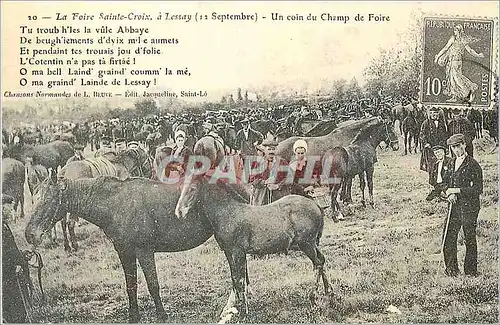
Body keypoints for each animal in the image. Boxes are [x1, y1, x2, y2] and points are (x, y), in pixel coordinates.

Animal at [25, 176, 215, 322]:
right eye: (34, 199)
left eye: (48, 200)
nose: (29, 235)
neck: (116, 205)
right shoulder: (124, 252)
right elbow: (131, 286)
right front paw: (134, 317)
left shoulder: (144, 252)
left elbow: (153, 284)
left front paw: (162, 316)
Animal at [174, 173, 334, 320]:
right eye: (182, 188)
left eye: (192, 188)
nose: (179, 212)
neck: (228, 212)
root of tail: (316, 206)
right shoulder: (228, 252)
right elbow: (234, 278)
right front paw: (236, 308)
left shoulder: (238, 252)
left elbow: (240, 280)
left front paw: (243, 312)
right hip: (312, 244)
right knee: (322, 260)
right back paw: (329, 293)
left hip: (306, 244)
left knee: (317, 263)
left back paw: (313, 297)